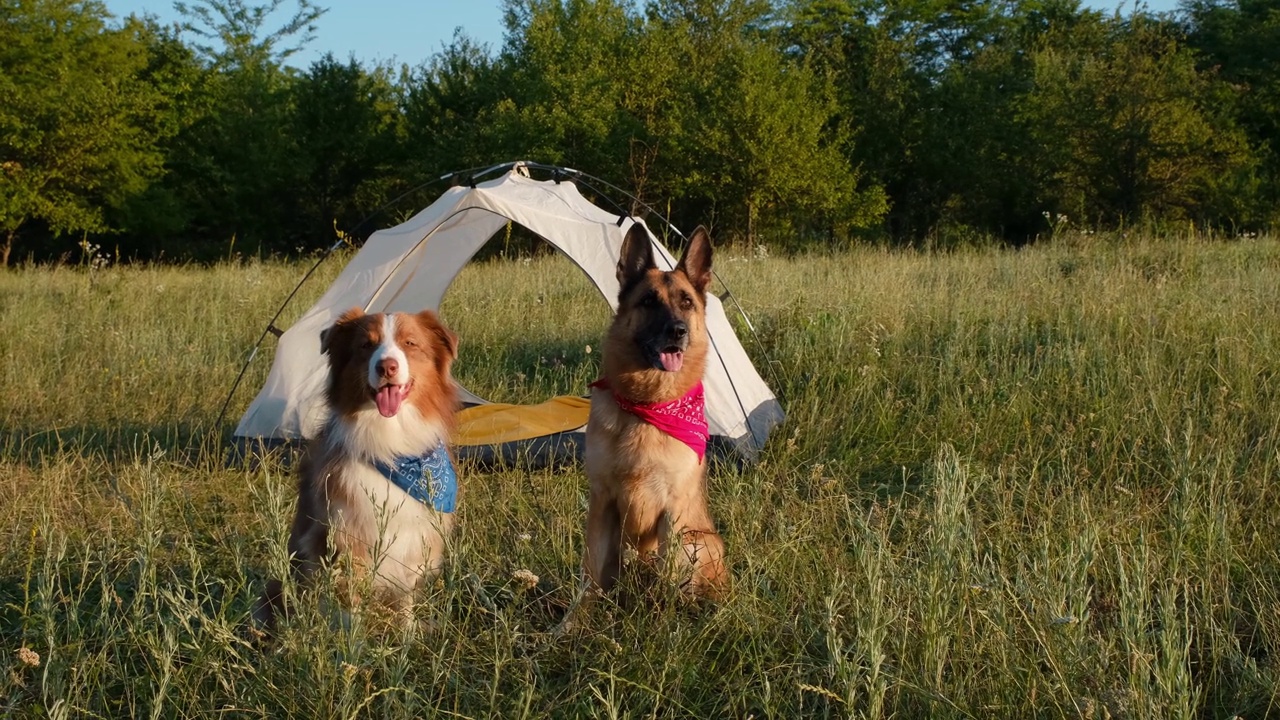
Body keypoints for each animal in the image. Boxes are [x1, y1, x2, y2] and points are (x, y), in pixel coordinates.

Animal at [254, 304, 460, 625]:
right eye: (366, 345)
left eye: (410, 343)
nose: (386, 367)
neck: (392, 448)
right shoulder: (344, 541)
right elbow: (350, 609)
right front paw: (353, 638)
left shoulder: (413, 541)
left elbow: (405, 601)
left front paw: (408, 633)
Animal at [583, 222, 732, 599]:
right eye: (648, 301)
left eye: (686, 302)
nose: (677, 331)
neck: (648, 404)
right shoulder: (601, 501)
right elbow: (589, 575)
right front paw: (578, 614)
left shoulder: (673, 511)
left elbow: (666, 575)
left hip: (698, 541)